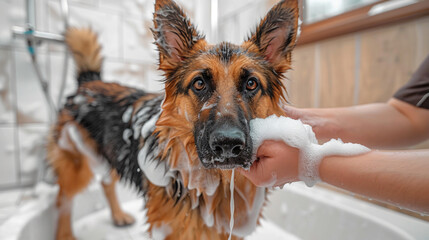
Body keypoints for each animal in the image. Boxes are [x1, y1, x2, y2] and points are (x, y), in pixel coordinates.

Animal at [48, 0, 298, 239]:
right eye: (199, 83)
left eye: (251, 84)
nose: (228, 144)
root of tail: (88, 82)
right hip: (75, 163)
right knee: (63, 199)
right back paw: (65, 234)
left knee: (106, 182)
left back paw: (118, 215)